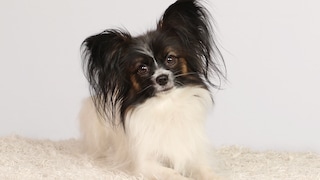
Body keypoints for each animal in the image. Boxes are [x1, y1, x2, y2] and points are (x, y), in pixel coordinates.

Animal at [80, 0, 225, 179]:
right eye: (142, 69)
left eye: (170, 59)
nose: (162, 78)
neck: (167, 106)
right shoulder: (145, 164)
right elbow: (173, 174)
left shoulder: (193, 155)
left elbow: (206, 171)